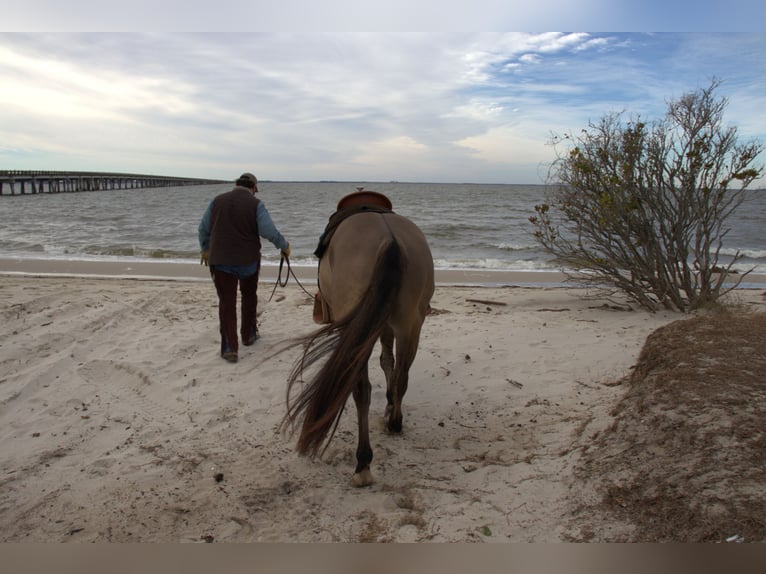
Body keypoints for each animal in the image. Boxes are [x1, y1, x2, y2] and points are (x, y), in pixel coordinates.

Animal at [282, 209, 434, 487]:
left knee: (361, 389)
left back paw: (363, 463)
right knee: (402, 376)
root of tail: (390, 239)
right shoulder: (385, 324)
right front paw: (389, 404)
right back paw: (395, 422)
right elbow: (388, 362)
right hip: (410, 325)